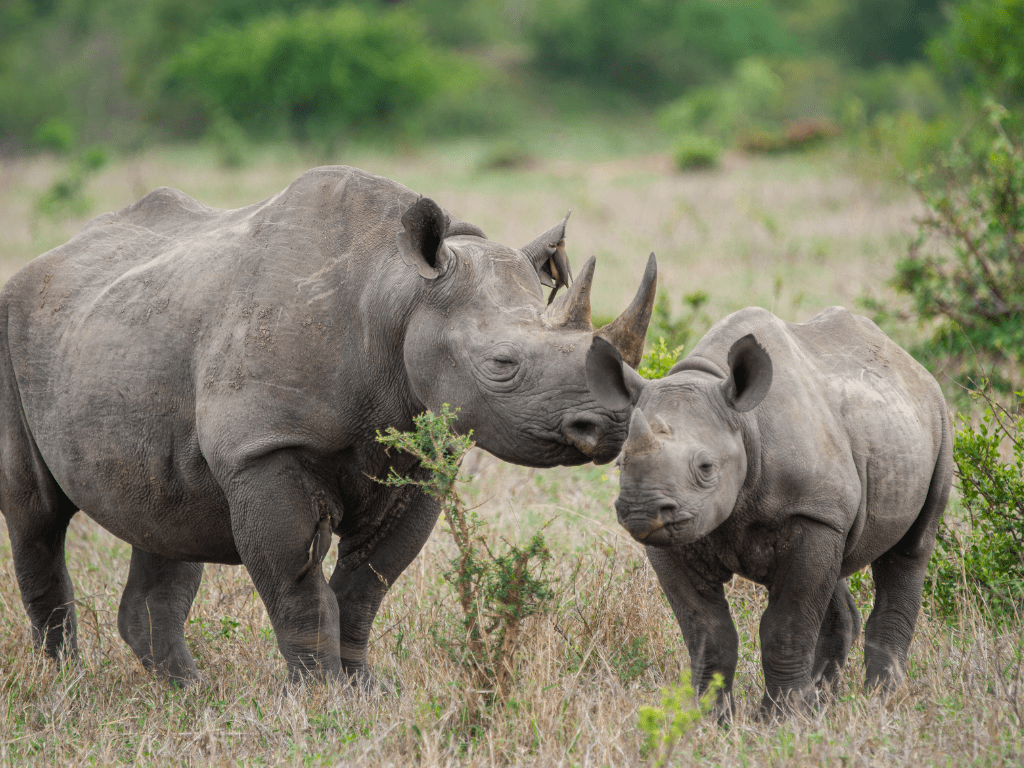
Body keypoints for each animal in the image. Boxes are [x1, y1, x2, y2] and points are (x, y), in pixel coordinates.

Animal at [0, 165, 657, 686]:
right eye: (501, 366)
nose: (610, 426)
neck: (397, 294)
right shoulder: (263, 449)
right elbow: (300, 590)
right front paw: (319, 697)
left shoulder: (422, 458)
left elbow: (368, 583)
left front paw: (364, 690)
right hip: (14, 326)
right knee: (35, 516)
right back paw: (67, 682)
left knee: (166, 516)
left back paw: (188, 693)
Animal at [586, 306, 952, 714]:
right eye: (620, 463)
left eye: (706, 467)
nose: (640, 512)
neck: (743, 422)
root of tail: (910, 364)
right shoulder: (679, 533)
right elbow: (706, 632)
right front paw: (709, 718)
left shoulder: (810, 513)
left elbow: (786, 626)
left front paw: (780, 718)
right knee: (837, 564)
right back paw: (823, 702)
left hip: (937, 421)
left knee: (910, 549)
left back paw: (881, 700)